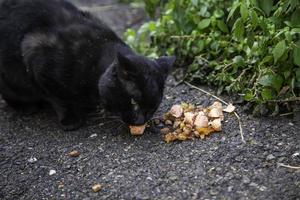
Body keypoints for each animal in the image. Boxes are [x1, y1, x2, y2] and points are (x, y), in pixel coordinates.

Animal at [0, 0, 176, 130]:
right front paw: (70, 120)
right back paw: (26, 107)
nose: (140, 121)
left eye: (154, 106)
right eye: (133, 102)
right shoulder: (34, 53)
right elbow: (58, 99)